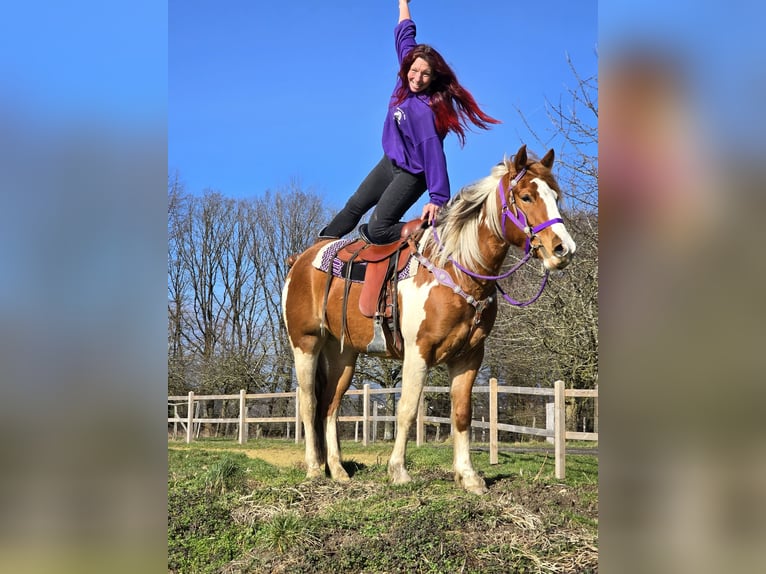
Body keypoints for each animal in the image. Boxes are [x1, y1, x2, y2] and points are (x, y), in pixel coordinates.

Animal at [281, 144, 576, 494]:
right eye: (527, 197)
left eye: (555, 196)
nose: (563, 249)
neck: (456, 267)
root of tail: (300, 260)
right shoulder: (418, 352)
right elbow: (407, 410)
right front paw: (398, 471)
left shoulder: (469, 356)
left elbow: (461, 414)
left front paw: (468, 476)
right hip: (306, 344)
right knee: (309, 402)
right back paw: (314, 468)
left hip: (343, 354)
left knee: (330, 405)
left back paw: (338, 470)